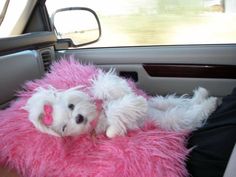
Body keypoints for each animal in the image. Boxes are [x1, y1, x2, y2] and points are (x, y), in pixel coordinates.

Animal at [24, 70, 218, 138]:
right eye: (64, 127)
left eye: (71, 106)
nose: (78, 118)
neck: (98, 114)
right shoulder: (112, 126)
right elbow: (114, 124)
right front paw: (137, 104)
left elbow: (112, 88)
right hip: (174, 117)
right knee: (191, 113)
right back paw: (210, 102)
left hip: (162, 101)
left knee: (181, 101)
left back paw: (202, 94)